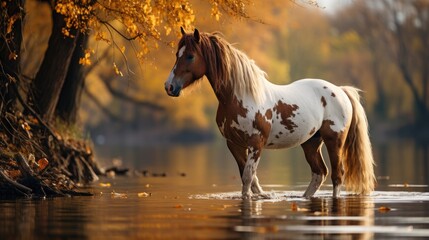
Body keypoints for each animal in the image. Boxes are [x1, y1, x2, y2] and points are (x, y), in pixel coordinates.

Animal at [164, 27, 374, 199]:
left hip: (334, 141)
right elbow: (250, 180)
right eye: (176, 54)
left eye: (190, 56)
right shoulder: (234, 144)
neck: (239, 97)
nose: (169, 86)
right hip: (311, 142)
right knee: (319, 172)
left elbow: (248, 178)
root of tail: (340, 90)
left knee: (338, 175)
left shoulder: (256, 144)